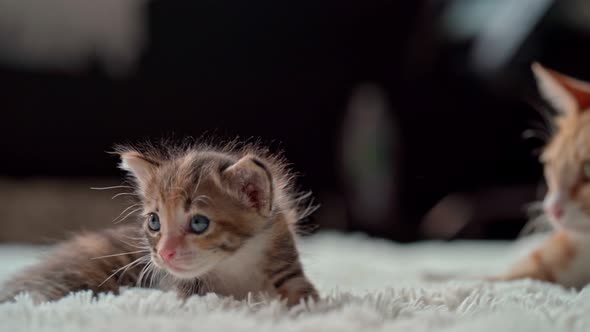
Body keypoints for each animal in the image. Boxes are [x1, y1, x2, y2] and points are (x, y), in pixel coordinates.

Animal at [0, 141, 320, 304]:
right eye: (154, 222)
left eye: (199, 223)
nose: (164, 253)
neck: (235, 265)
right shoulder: (180, 289)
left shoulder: (287, 268)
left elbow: (305, 298)